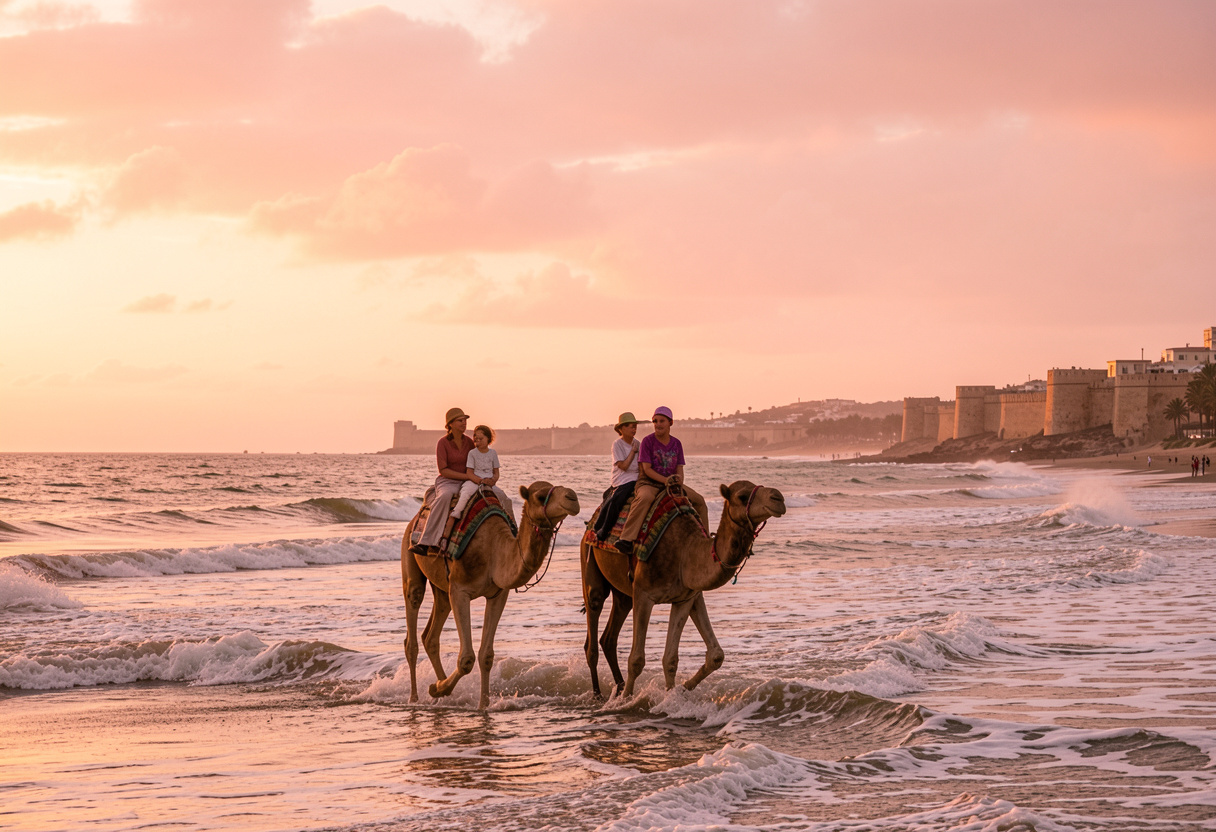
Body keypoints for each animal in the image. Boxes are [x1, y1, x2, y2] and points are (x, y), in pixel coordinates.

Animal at [401, 481, 581, 710]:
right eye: (540, 496)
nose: (572, 498)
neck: (494, 551)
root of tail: (415, 519)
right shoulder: (460, 590)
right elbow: (466, 659)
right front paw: (436, 689)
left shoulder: (498, 594)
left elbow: (486, 655)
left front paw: (481, 704)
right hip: (410, 558)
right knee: (412, 627)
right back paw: (414, 698)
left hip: (442, 589)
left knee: (431, 635)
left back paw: (441, 691)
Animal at [580, 480, 786, 698]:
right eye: (742, 496)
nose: (778, 498)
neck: (684, 552)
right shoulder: (644, 594)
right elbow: (636, 660)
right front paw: (627, 700)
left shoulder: (684, 599)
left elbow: (677, 659)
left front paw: (674, 694)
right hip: (589, 559)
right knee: (593, 620)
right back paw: (599, 695)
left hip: (624, 593)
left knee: (610, 634)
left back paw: (617, 688)